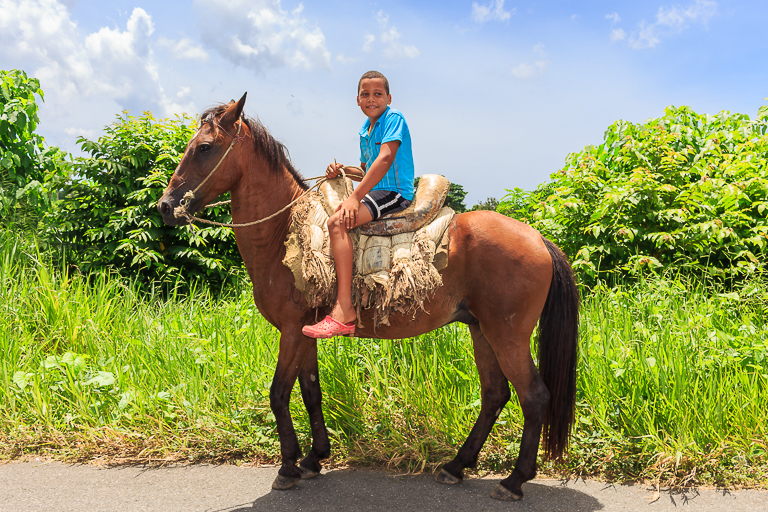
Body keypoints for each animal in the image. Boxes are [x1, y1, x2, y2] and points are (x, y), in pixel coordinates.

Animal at [158, 94, 576, 502]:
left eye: (205, 147)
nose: (165, 205)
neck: (284, 231)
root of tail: (539, 239)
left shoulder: (291, 330)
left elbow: (278, 394)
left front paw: (288, 466)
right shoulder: (305, 331)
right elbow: (311, 391)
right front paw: (314, 458)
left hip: (507, 334)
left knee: (534, 397)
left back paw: (514, 480)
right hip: (481, 329)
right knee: (494, 394)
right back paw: (457, 466)